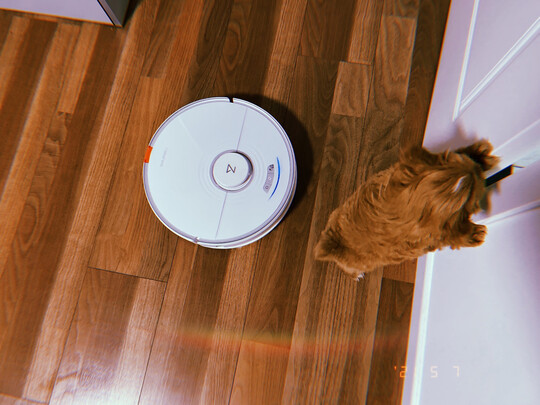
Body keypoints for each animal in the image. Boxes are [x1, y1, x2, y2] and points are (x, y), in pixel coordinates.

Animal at [315, 139, 499, 280]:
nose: (479, 172)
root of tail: (330, 242)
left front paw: (479, 153)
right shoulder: (436, 235)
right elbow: (455, 235)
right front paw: (475, 234)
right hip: (353, 264)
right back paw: (357, 275)